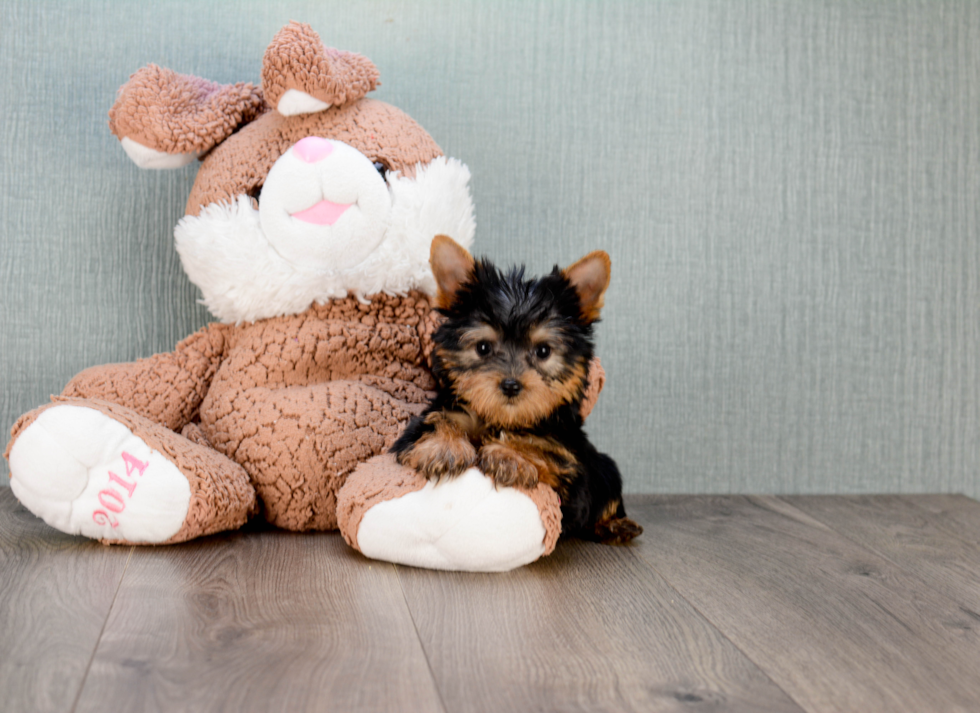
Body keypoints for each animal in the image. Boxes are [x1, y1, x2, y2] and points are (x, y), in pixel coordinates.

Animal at [390, 236, 644, 544]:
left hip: (605, 468)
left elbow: (544, 450)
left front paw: (510, 455)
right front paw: (442, 448)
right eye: (483, 348)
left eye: (543, 351)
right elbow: (437, 420)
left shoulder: (569, 458)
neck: (503, 418)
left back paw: (615, 526)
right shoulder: (432, 417)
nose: (511, 385)